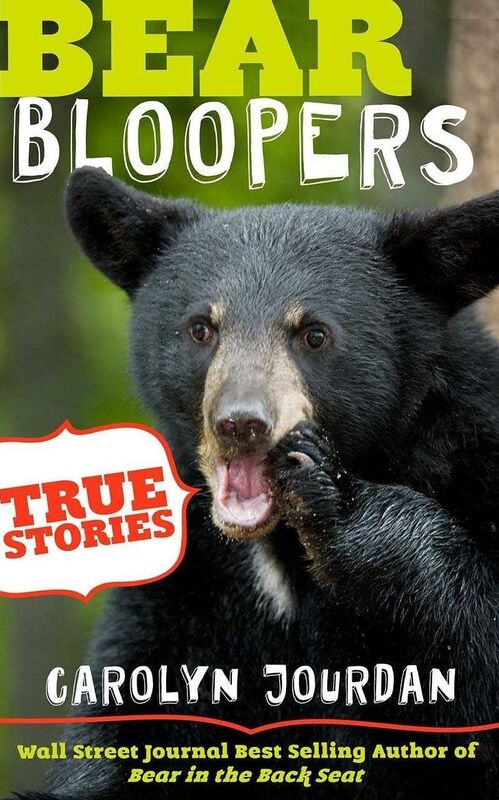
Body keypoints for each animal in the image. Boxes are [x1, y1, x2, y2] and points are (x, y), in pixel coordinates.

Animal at [8, 167, 499, 800]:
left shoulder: (475, 463)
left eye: (314, 334)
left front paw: (343, 507)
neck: (281, 549)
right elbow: (136, 718)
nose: (240, 423)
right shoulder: (192, 585)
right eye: (201, 328)